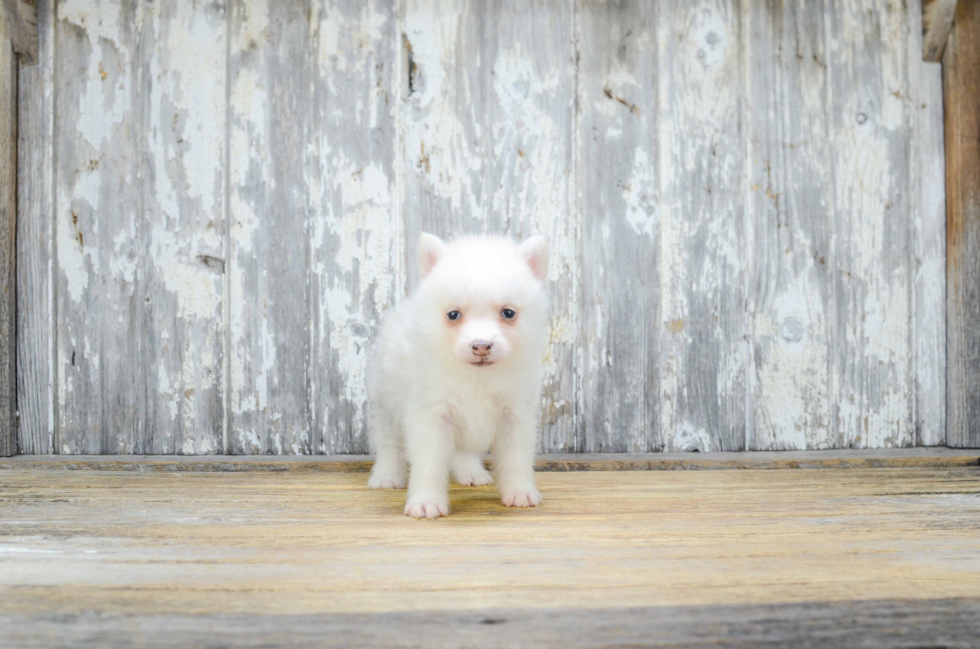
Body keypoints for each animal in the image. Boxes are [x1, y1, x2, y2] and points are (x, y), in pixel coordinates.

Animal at [368, 232, 552, 516]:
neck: (477, 379)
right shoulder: (431, 416)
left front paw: (520, 491)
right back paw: (386, 477)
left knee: (463, 451)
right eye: (453, 315)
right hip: (387, 402)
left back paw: (471, 472)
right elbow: (429, 463)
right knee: (389, 443)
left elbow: (516, 458)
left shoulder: (515, 415)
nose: (481, 346)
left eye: (508, 313)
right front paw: (426, 502)